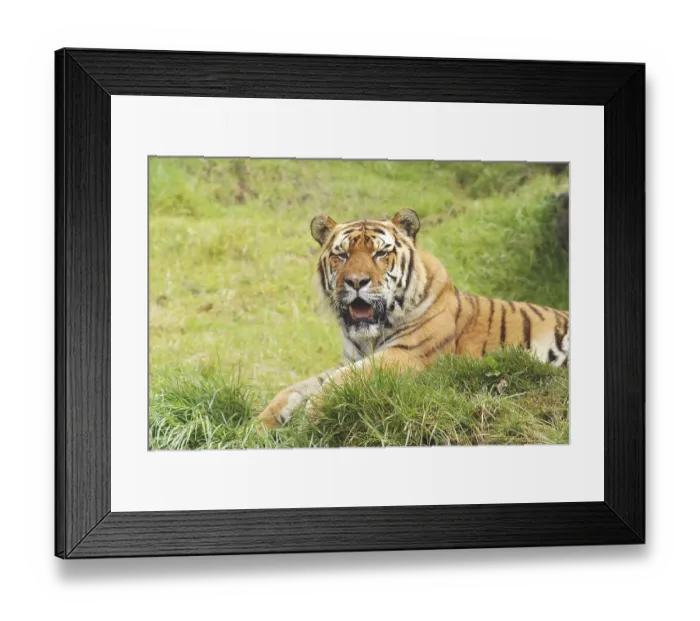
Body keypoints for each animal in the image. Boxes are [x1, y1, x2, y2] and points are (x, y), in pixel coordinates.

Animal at [257, 209, 569, 431]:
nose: (356, 281)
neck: (369, 337)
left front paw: (313, 412)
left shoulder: (408, 355)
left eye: (380, 253)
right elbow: (297, 387)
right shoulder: (350, 359)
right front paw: (260, 425)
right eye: (342, 255)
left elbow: (340, 381)